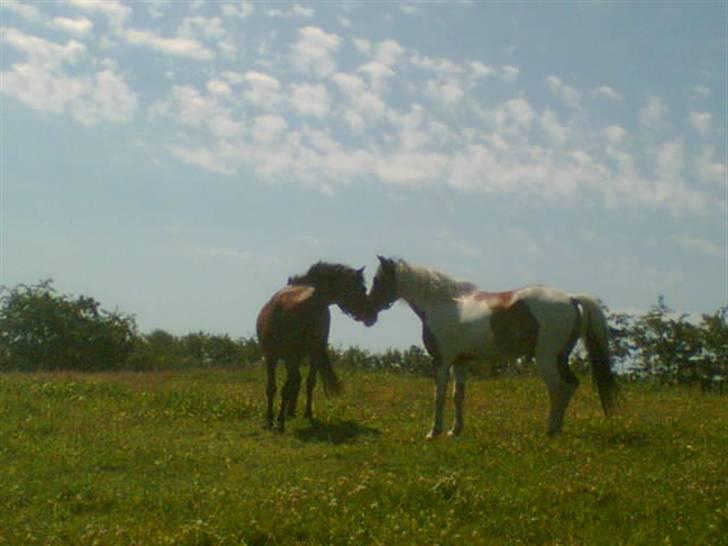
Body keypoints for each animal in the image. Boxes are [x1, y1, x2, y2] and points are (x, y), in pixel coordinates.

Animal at [256, 262, 378, 432]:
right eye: (362, 288)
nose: (372, 315)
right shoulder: (286, 356)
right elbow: (293, 385)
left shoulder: (282, 356)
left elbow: (285, 386)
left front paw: (283, 415)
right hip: (295, 357)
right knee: (293, 383)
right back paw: (284, 417)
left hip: (290, 357)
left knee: (289, 384)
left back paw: (282, 417)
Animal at [370, 255, 620, 438]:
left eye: (377, 280)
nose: (368, 309)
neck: (442, 303)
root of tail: (570, 298)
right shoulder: (461, 362)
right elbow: (457, 395)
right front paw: (455, 430)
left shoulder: (442, 360)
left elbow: (438, 395)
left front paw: (434, 432)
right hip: (560, 357)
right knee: (571, 385)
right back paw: (557, 428)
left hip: (546, 358)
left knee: (558, 387)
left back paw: (550, 429)